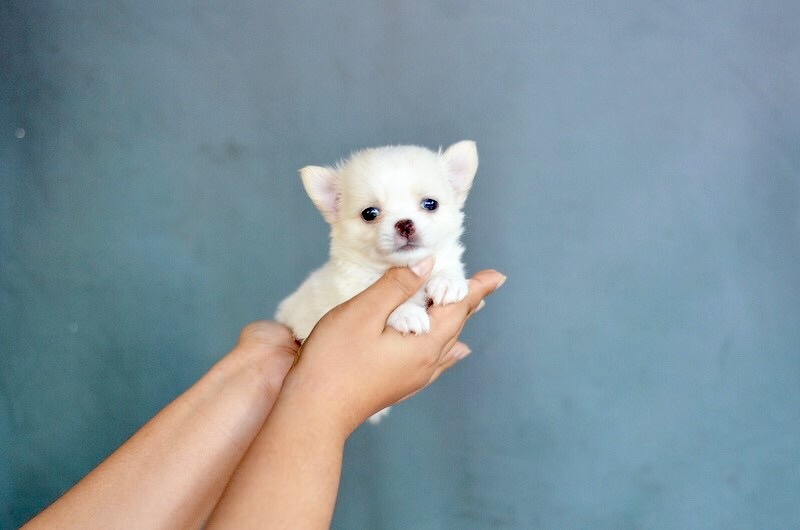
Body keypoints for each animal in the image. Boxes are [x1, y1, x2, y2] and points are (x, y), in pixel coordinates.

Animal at [275, 140, 478, 421]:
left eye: (430, 204)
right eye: (369, 213)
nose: (404, 224)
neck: (396, 267)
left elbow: (445, 263)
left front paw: (448, 282)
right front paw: (407, 312)